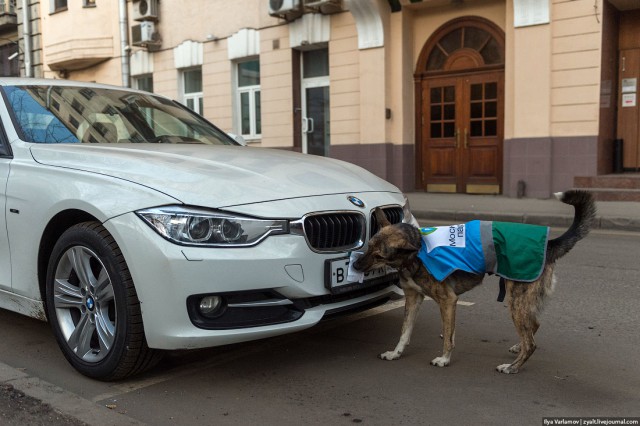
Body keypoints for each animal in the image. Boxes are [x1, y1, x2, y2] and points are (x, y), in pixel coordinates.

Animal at [352, 190, 596, 372]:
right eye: (369, 246)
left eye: (379, 256)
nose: (355, 265)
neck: (417, 250)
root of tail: (550, 244)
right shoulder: (413, 299)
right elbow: (405, 332)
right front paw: (396, 353)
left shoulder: (448, 301)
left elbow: (447, 337)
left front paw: (444, 359)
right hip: (523, 302)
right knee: (533, 326)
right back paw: (517, 348)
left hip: (516, 300)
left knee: (531, 343)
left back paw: (512, 367)